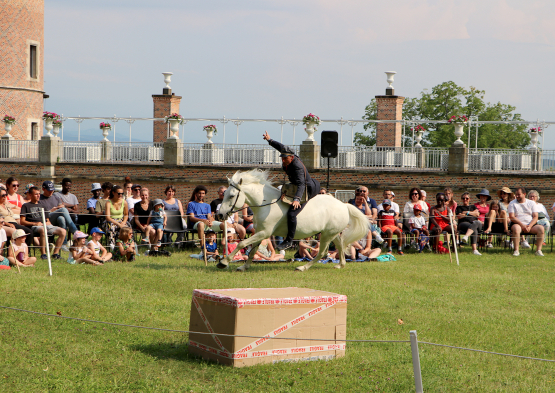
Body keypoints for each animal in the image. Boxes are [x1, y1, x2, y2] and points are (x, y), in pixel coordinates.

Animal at [216, 170, 370, 272]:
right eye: (224, 194)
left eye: (231, 196)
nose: (219, 215)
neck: (266, 204)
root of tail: (344, 205)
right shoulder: (260, 232)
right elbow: (253, 250)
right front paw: (244, 266)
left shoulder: (264, 233)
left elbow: (241, 243)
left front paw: (223, 262)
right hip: (331, 233)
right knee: (340, 244)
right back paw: (340, 264)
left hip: (327, 235)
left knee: (322, 253)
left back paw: (302, 267)